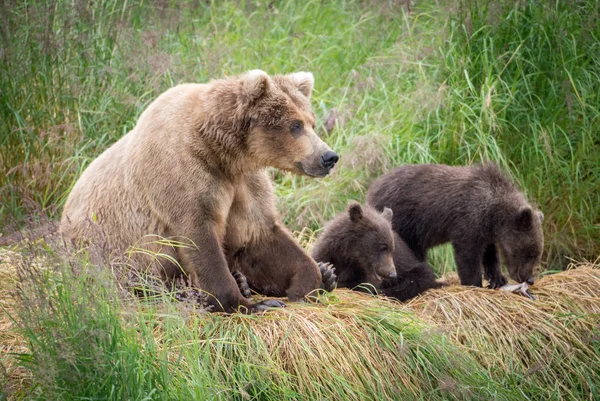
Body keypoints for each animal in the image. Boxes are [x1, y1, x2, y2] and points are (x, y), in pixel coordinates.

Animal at [63, 69, 340, 312]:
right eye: (295, 125)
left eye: (311, 122)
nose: (329, 156)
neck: (223, 152)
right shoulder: (183, 173)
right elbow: (201, 239)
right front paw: (251, 304)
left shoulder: (244, 183)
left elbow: (260, 234)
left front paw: (309, 279)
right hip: (104, 248)